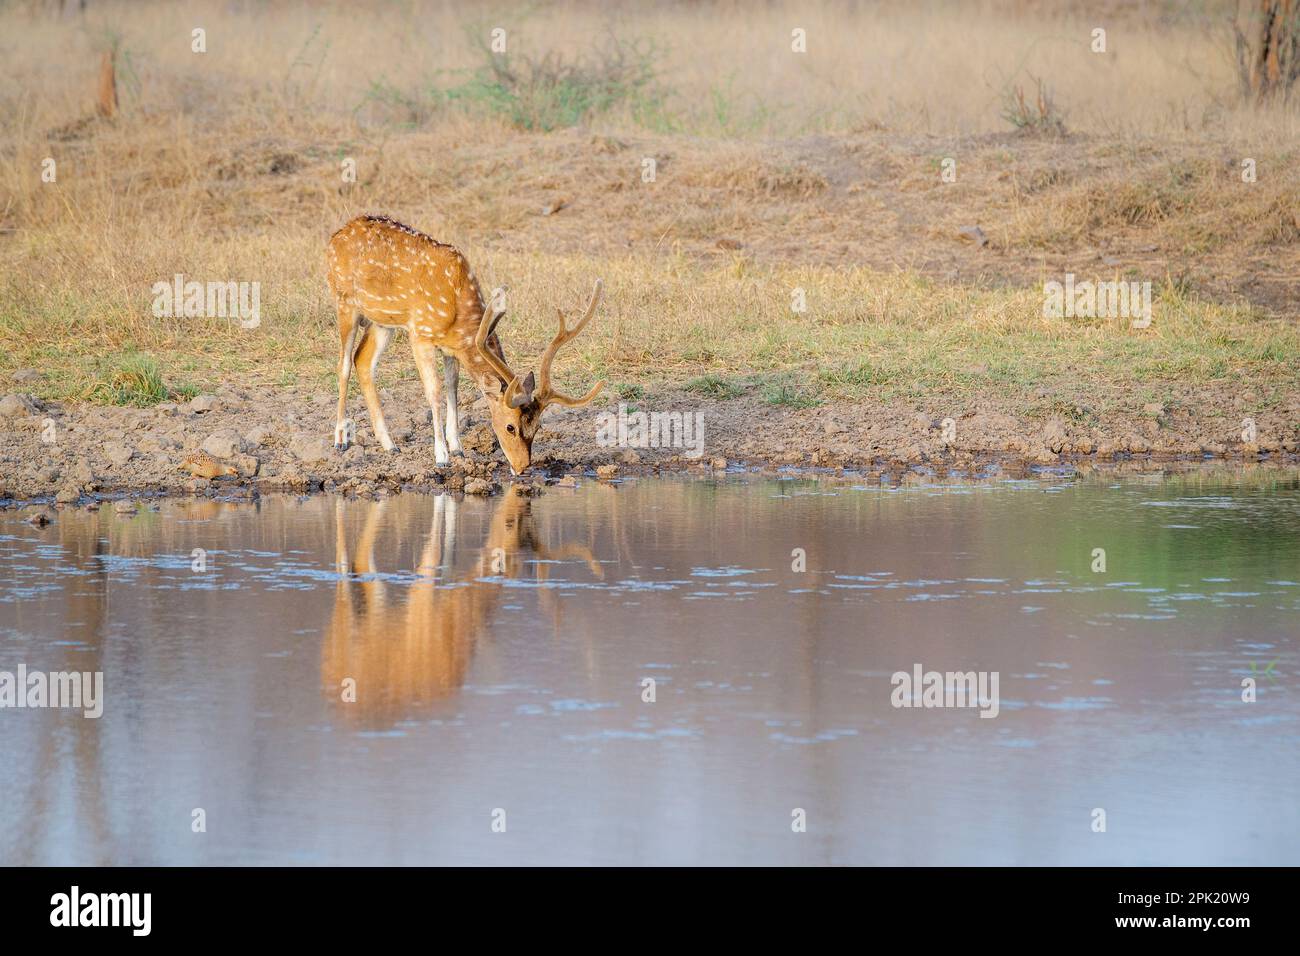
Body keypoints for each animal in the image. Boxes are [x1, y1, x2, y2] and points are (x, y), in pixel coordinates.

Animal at [325, 214, 608, 473]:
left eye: (537, 425)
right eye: (510, 427)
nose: (522, 467)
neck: (459, 311)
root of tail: (336, 236)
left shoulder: (451, 347)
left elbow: (453, 388)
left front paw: (458, 448)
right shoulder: (421, 334)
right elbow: (435, 391)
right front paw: (441, 456)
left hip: (383, 321)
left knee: (363, 360)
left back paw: (390, 444)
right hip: (344, 301)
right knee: (343, 364)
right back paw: (340, 439)